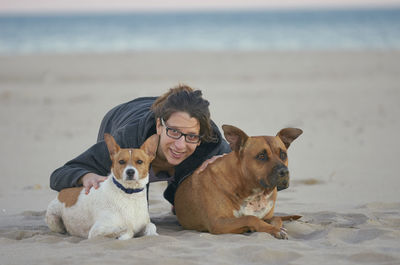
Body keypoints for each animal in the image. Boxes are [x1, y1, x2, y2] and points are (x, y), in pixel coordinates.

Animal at [175, 125, 304, 238]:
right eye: (261, 156)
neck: (255, 194)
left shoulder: (266, 216)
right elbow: (250, 218)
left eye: (283, 154)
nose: (284, 171)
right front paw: (271, 229)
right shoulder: (217, 223)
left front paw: (276, 228)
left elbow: (276, 218)